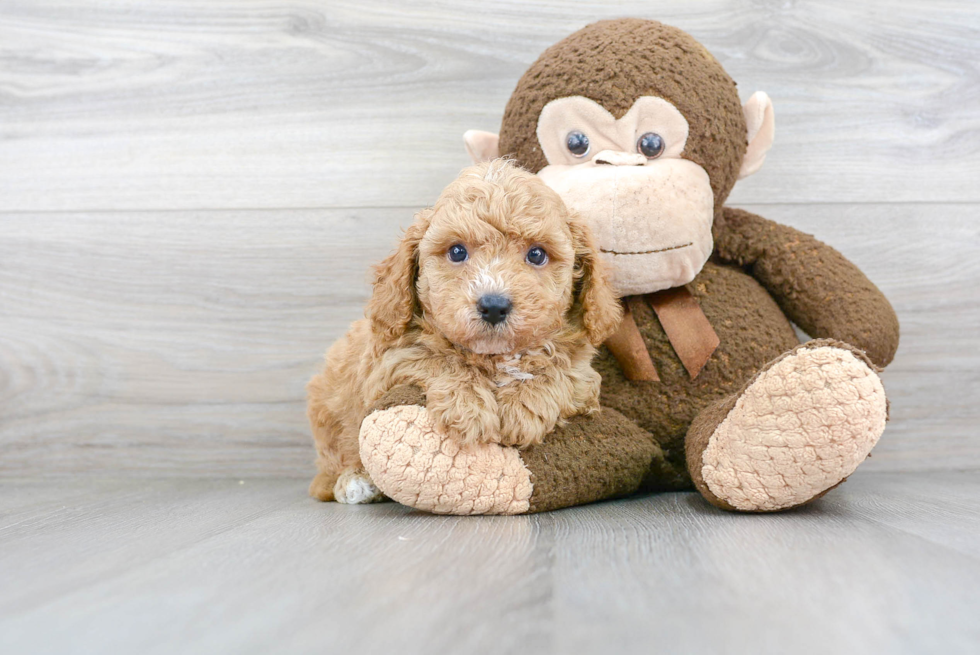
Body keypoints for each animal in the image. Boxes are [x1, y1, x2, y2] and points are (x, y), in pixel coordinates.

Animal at [310, 159, 620, 502]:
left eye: (537, 254)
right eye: (457, 252)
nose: (494, 305)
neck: (495, 358)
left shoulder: (583, 377)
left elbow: (559, 368)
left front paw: (525, 405)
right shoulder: (387, 363)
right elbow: (437, 358)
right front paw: (468, 407)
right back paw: (354, 482)